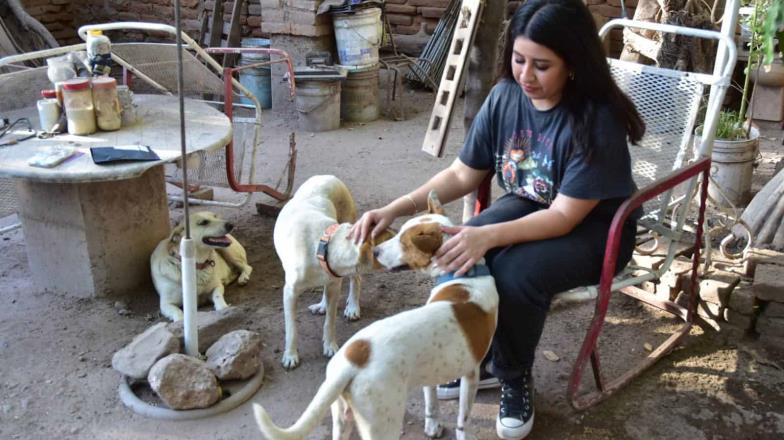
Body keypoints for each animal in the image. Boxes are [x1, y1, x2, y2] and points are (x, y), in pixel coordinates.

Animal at [272, 175, 396, 372]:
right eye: (391, 239)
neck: (322, 247)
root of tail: (328, 176)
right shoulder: (290, 293)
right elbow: (292, 329)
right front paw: (291, 355)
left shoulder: (335, 286)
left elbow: (330, 321)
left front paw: (330, 345)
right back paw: (322, 305)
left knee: (356, 280)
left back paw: (353, 307)